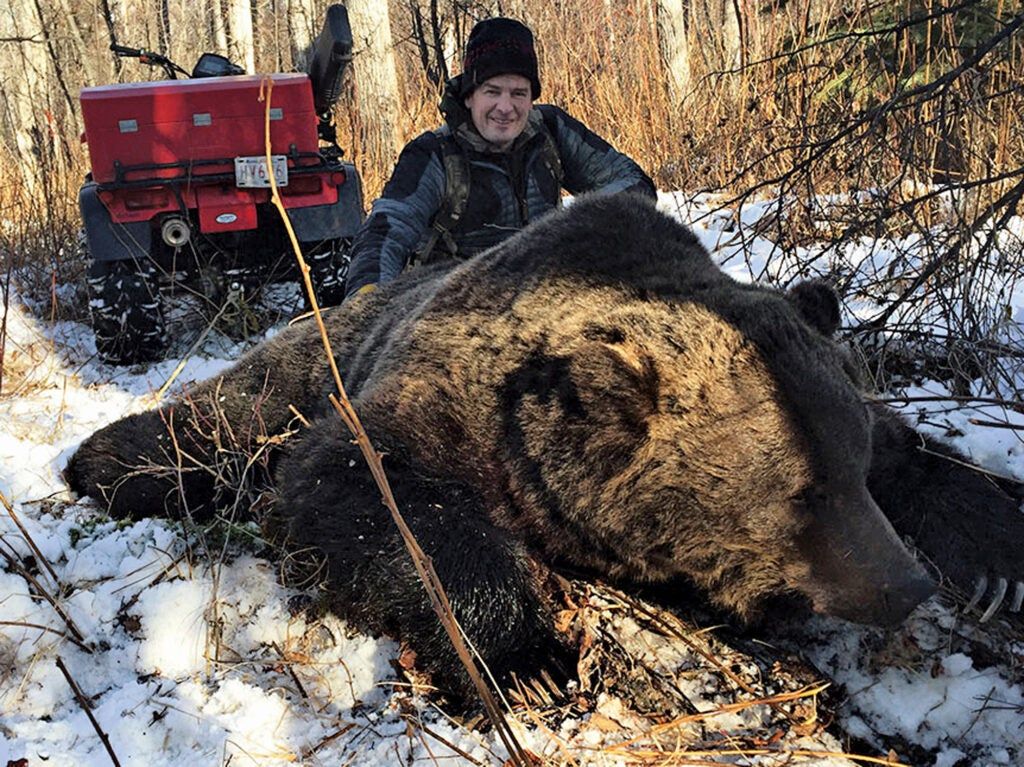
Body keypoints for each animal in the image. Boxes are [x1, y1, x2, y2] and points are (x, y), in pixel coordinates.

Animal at [66, 193, 1024, 700]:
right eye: (800, 490)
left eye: (851, 470)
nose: (906, 584)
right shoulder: (442, 406)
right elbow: (362, 487)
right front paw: (531, 659)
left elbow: (926, 459)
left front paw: (995, 563)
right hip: (299, 369)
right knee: (220, 422)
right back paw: (100, 463)